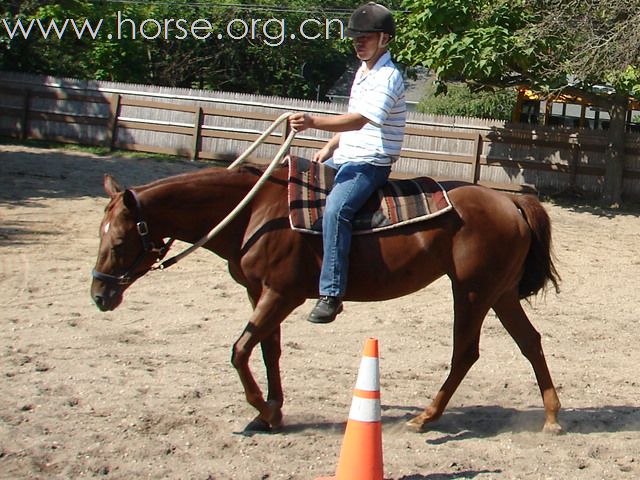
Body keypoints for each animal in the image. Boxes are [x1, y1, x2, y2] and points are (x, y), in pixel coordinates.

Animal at [90, 164, 560, 436]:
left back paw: (426, 417)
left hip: (472, 291)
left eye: (119, 240)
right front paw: (271, 411)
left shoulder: (282, 294)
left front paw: (263, 411)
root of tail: (511, 202)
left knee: (465, 352)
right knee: (530, 342)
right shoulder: (259, 293)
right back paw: (552, 417)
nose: (99, 294)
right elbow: (268, 349)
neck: (257, 212)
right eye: (101, 234)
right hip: (499, 293)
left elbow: (240, 350)